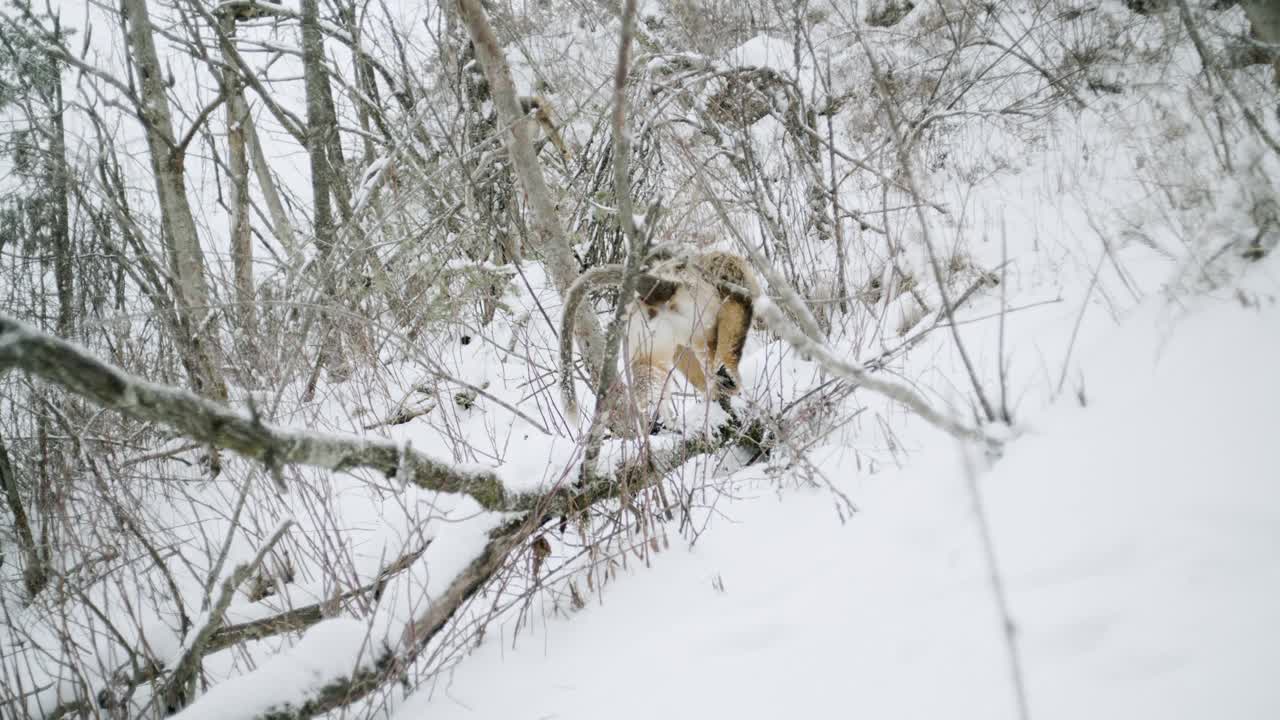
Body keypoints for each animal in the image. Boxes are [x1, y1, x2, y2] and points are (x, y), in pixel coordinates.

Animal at [560, 245, 757, 430]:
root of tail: (666, 286)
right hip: (702, 317)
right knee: (723, 347)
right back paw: (728, 380)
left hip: (649, 337)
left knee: (650, 376)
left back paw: (656, 419)